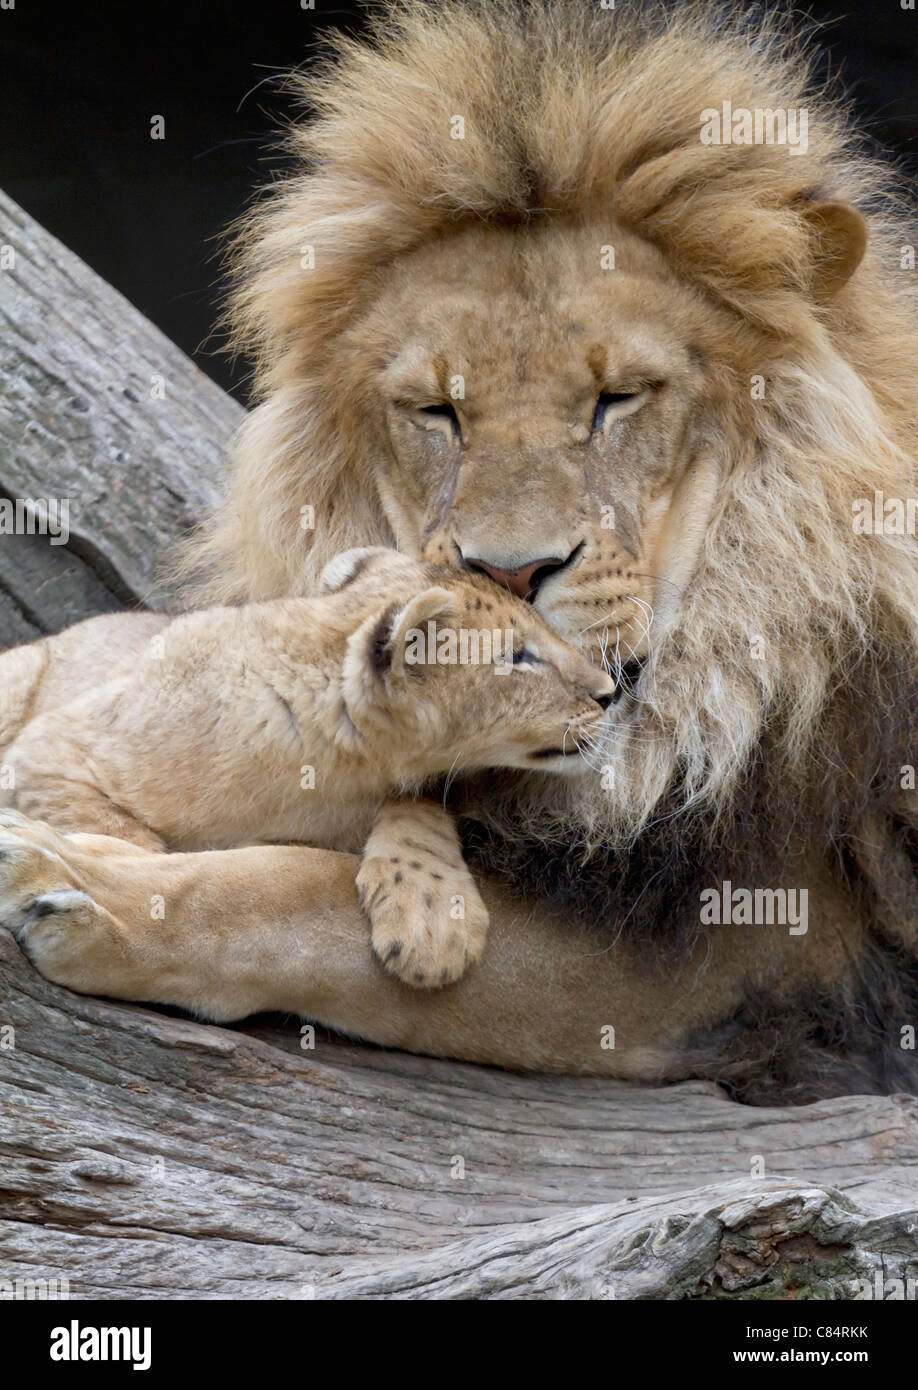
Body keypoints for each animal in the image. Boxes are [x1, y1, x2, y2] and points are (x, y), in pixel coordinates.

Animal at [0, 547, 612, 989]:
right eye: (520, 657)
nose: (611, 691)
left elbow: (417, 810)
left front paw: (434, 924)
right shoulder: (50, 748)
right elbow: (133, 840)